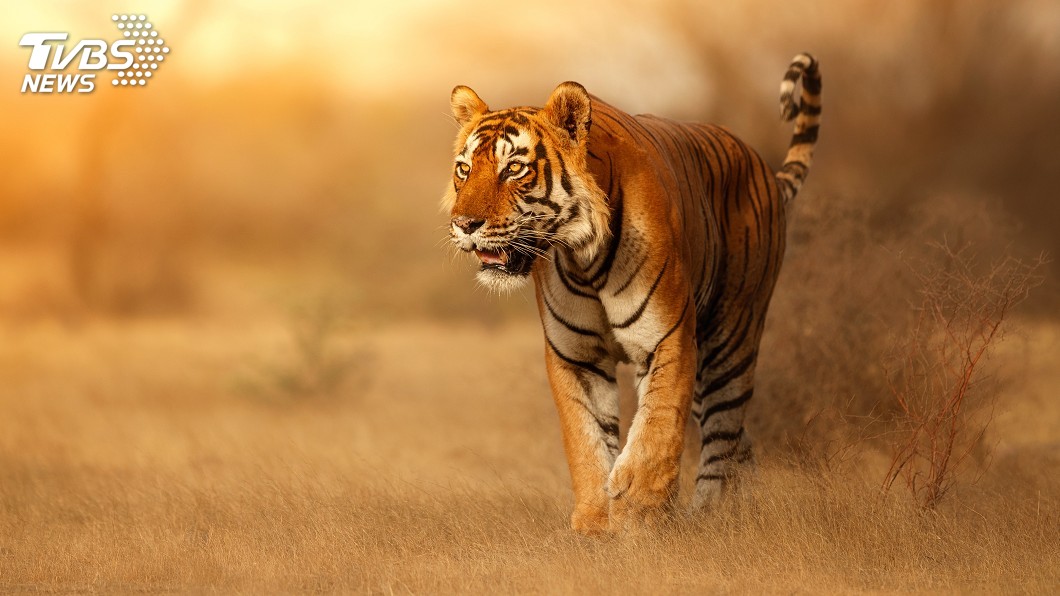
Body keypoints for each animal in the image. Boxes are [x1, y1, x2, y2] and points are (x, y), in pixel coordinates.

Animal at [443, 53, 821, 534]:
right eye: (464, 169)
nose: (463, 224)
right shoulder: (576, 355)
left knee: (723, 432)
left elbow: (657, 428)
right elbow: (585, 439)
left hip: (730, 339)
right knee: (739, 440)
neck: (582, 257)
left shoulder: (667, 338)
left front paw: (637, 513)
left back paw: (710, 515)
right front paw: (593, 522)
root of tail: (763, 168)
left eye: (514, 168)